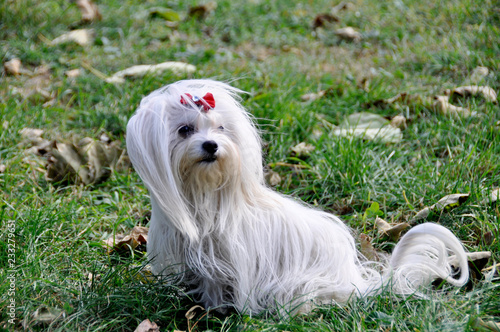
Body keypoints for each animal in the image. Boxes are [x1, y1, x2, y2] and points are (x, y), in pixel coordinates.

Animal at [126, 79, 468, 316]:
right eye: (184, 129)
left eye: (221, 128)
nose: (212, 145)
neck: (203, 196)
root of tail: (355, 280)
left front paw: (217, 310)